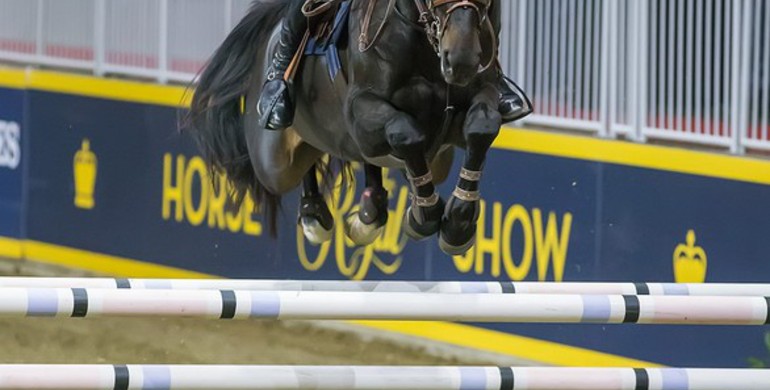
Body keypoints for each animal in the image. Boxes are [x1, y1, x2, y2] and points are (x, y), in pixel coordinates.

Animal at [189, 0, 532, 256]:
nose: (460, 61)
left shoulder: (471, 104)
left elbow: (481, 127)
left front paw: (458, 224)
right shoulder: (361, 111)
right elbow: (405, 132)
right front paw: (425, 216)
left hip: (437, 160)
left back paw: (368, 212)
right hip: (274, 163)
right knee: (298, 163)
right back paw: (313, 210)